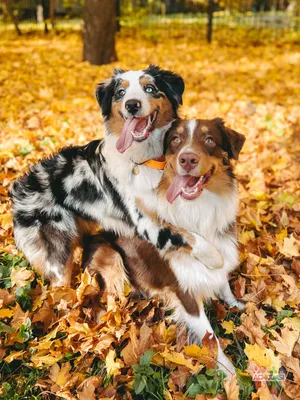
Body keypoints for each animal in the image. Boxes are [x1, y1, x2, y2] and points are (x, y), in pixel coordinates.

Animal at [81, 117, 244, 376]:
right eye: (175, 140)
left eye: (209, 139)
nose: (187, 159)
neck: (198, 210)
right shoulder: (183, 291)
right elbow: (210, 337)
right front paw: (229, 374)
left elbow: (223, 283)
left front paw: (235, 303)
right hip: (110, 255)